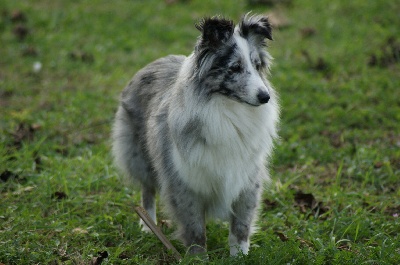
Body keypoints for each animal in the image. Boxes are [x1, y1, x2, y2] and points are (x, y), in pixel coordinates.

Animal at [111, 13, 280, 255]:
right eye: (235, 68)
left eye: (257, 66)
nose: (265, 96)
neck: (227, 110)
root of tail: (154, 62)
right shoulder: (184, 181)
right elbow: (195, 227)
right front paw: (198, 256)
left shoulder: (247, 178)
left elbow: (241, 225)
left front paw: (240, 256)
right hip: (139, 157)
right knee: (147, 191)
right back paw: (148, 226)